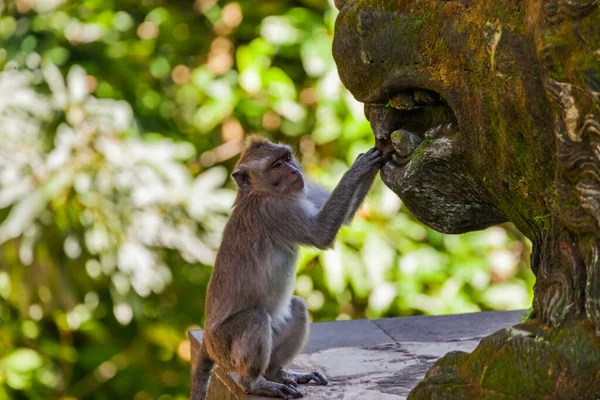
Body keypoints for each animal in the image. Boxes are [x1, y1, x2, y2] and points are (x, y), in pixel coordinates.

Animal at [190, 136, 382, 398]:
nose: (294, 171)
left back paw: (277, 373)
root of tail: (207, 341)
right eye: (276, 165)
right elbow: (321, 233)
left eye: (287, 158)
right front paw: (359, 167)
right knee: (256, 318)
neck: (257, 193)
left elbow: (343, 218)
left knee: (298, 307)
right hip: (226, 347)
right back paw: (256, 384)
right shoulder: (276, 211)